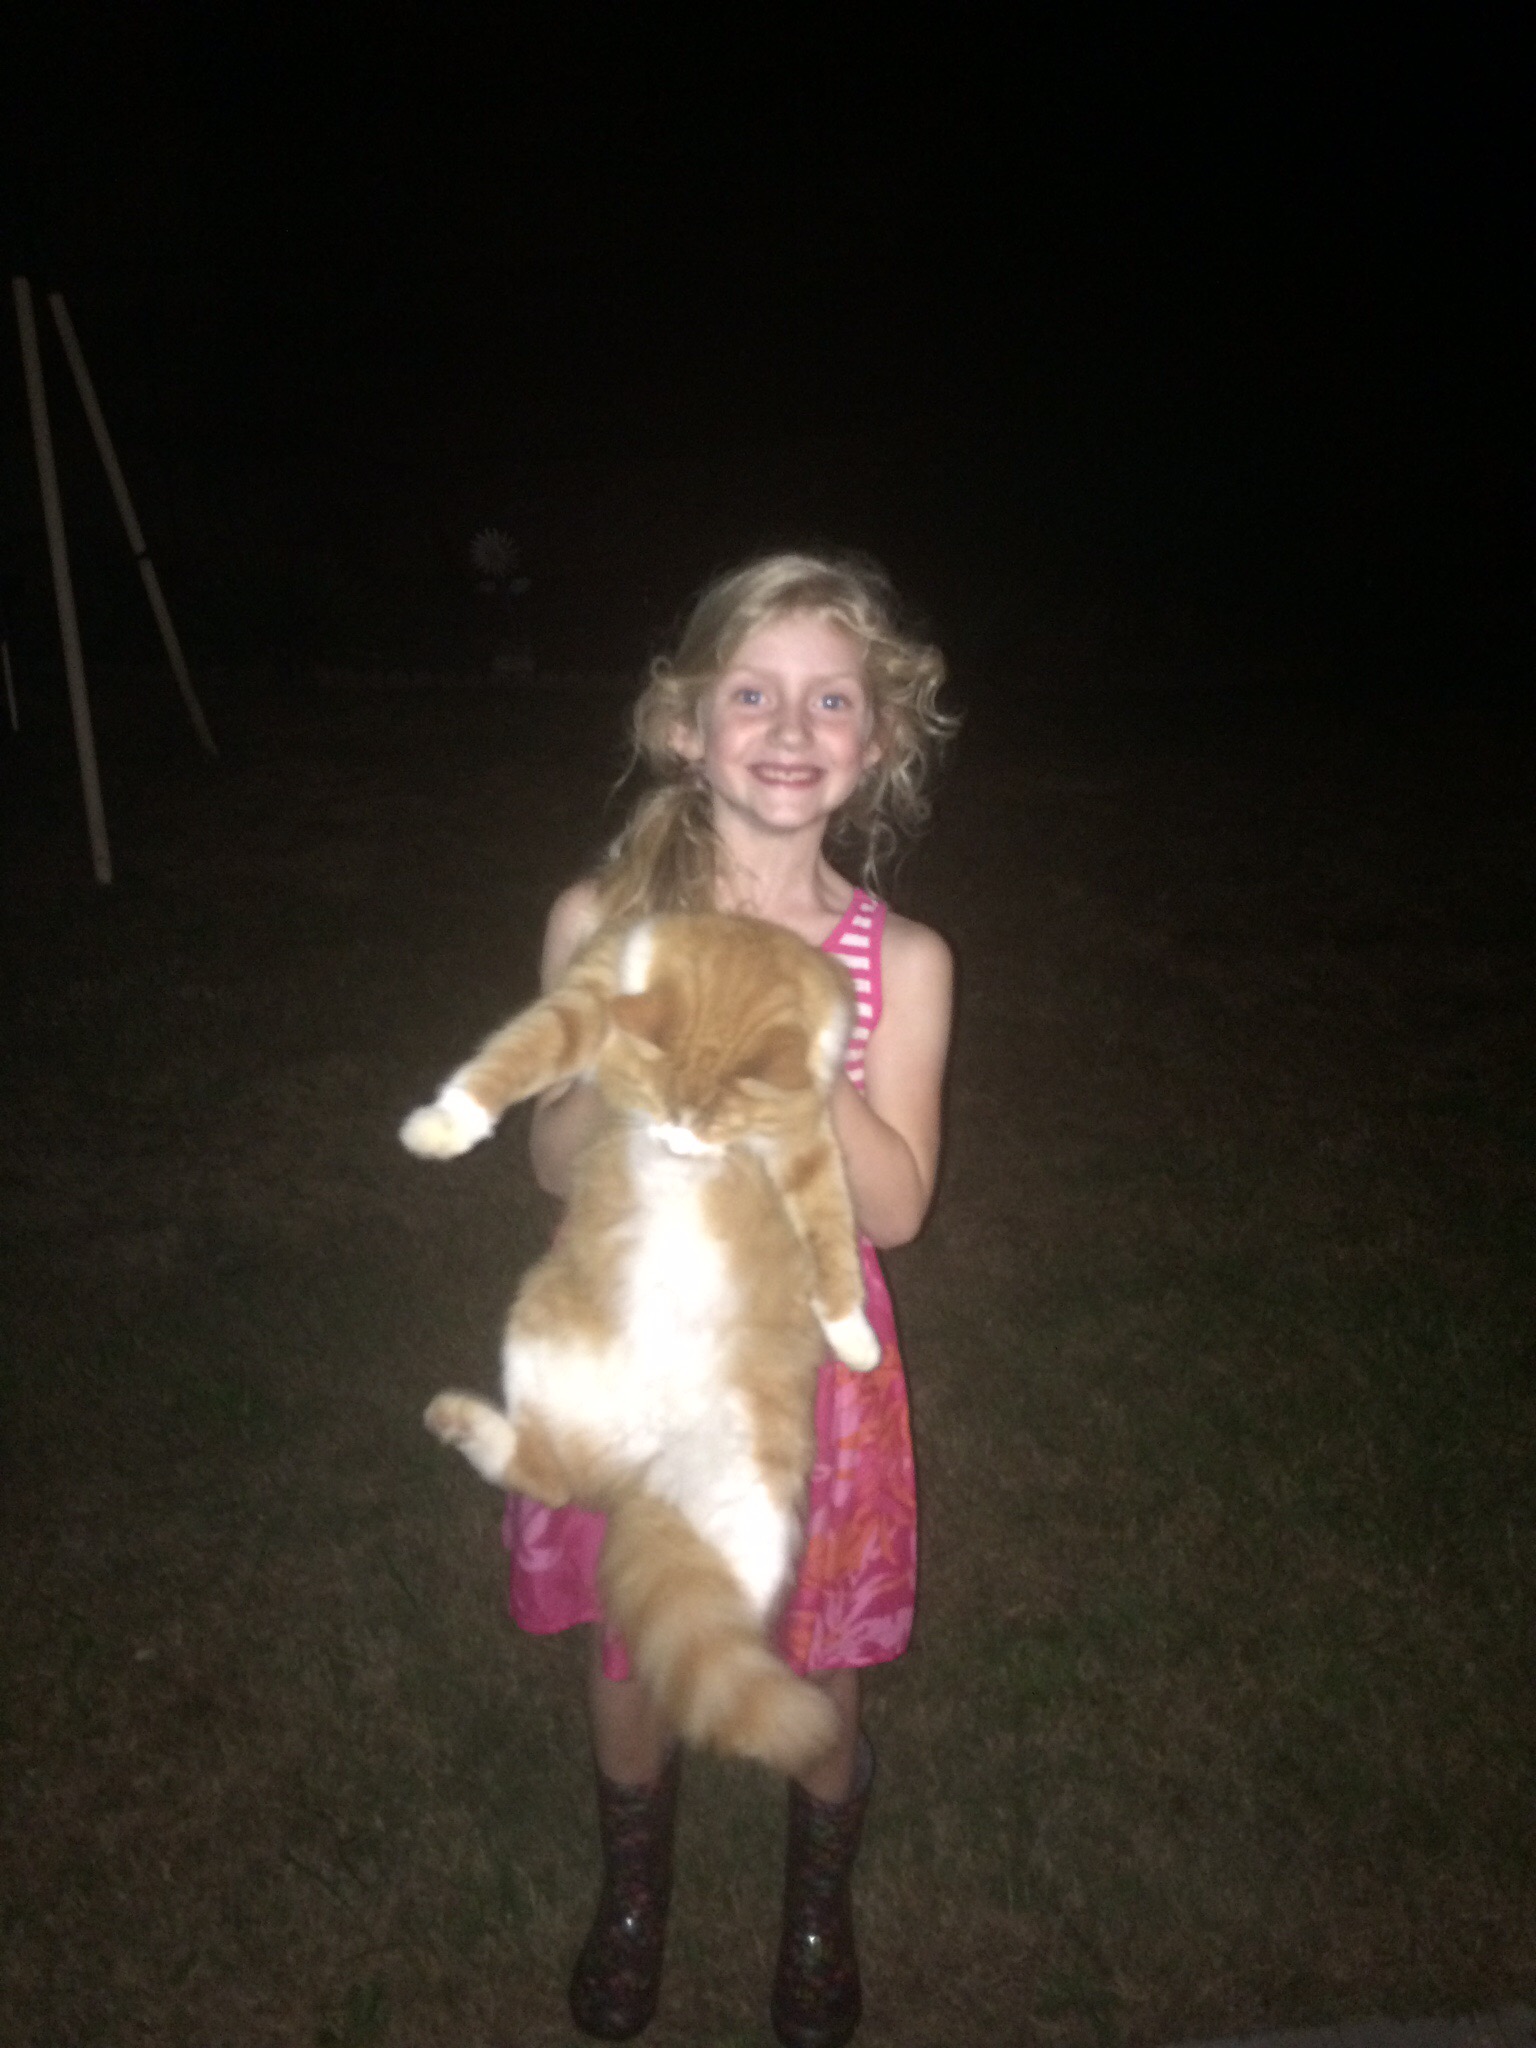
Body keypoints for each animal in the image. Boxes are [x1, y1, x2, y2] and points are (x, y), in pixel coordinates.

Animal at [400, 911, 882, 1775]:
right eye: (659, 1104)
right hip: (537, 1331)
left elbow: (831, 1232)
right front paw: (446, 1124)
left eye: (716, 1125)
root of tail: (634, 1474)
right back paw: (458, 1418)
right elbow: (514, 1057)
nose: (677, 1147)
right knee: (545, 1476)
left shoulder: (803, 1132)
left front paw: (852, 1333)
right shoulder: (586, 999)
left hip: (750, 1526)